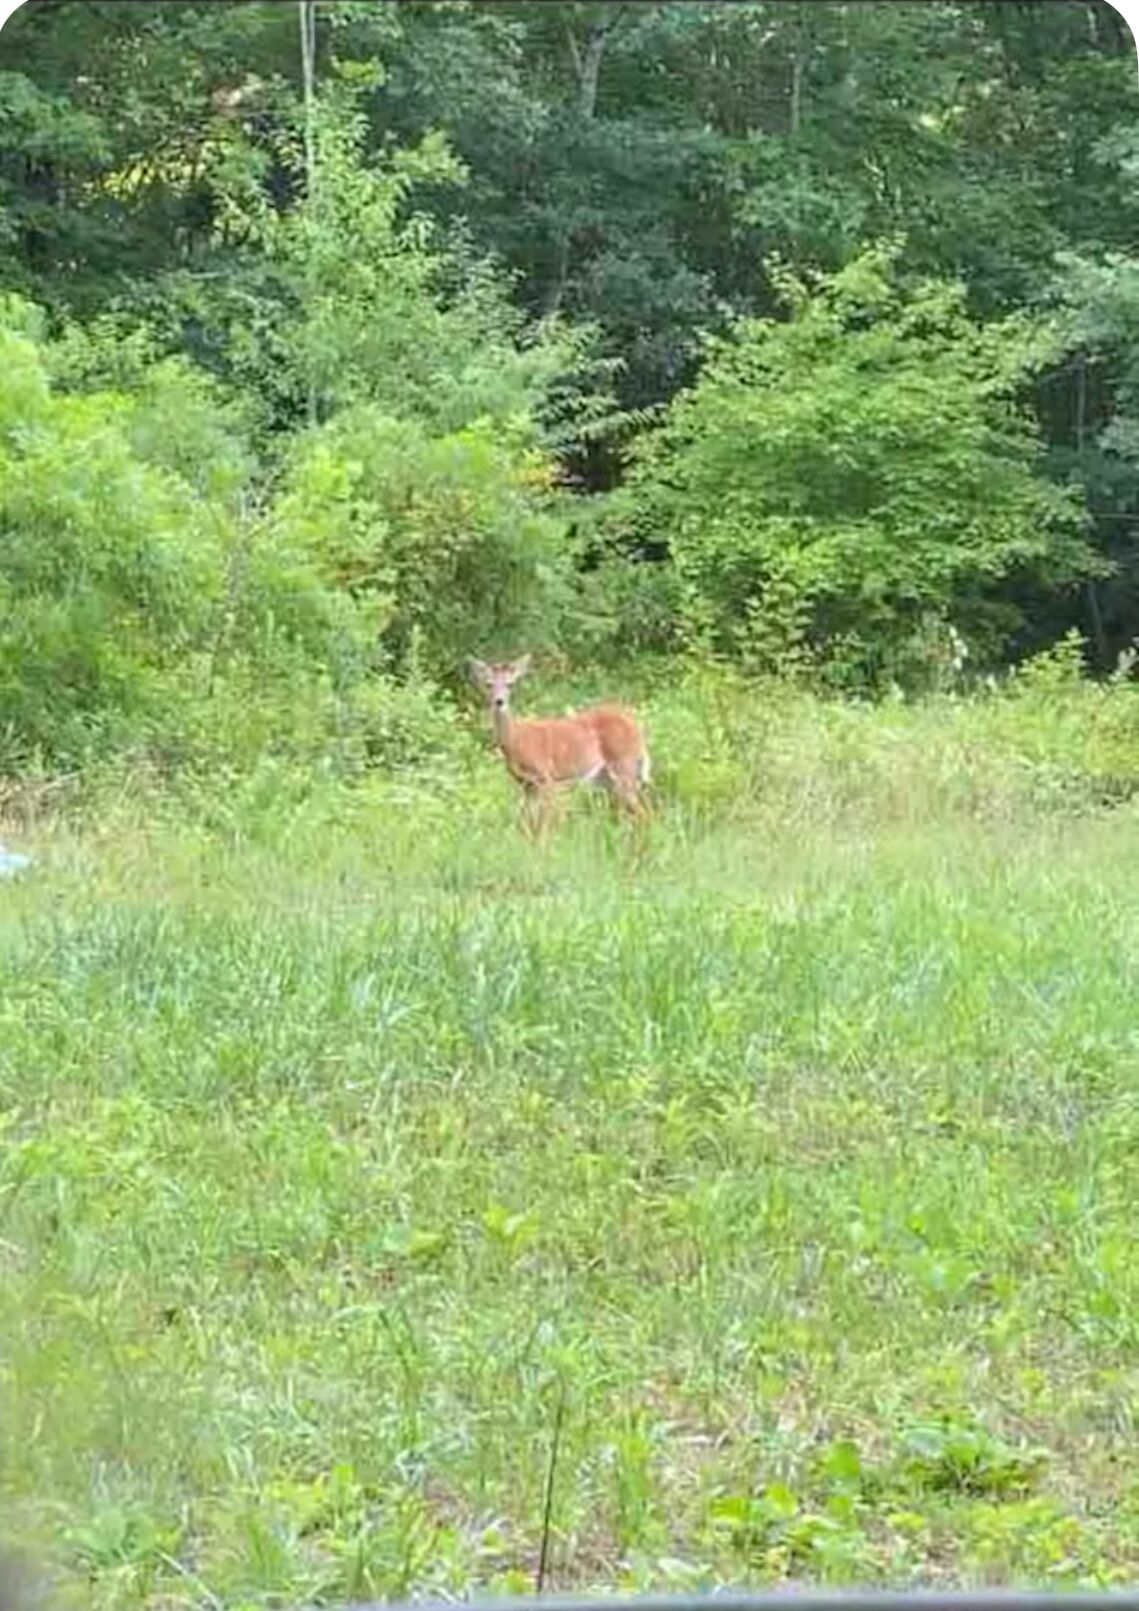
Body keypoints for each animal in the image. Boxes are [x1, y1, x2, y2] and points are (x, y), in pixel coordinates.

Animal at [467, 654, 651, 837]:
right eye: (488, 684)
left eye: (510, 684)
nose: (499, 702)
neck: (516, 739)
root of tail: (636, 725)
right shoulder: (527, 785)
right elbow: (529, 826)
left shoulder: (545, 777)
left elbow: (543, 826)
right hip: (606, 778)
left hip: (624, 765)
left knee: (644, 814)